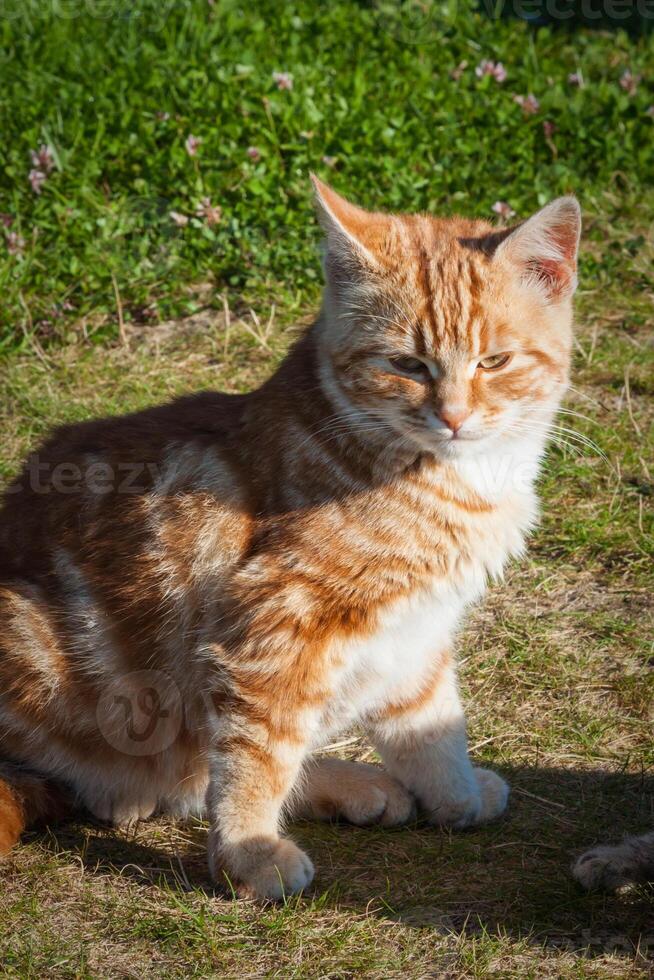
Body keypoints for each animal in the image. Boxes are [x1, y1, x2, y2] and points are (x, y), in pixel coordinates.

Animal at [0, 180, 584, 900]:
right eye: (407, 365)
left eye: (495, 361)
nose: (452, 417)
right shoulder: (275, 623)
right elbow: (256, 753)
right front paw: (248, 852)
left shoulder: (416, 630)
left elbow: (429, 722)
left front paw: (458, 793)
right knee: (164, 783)